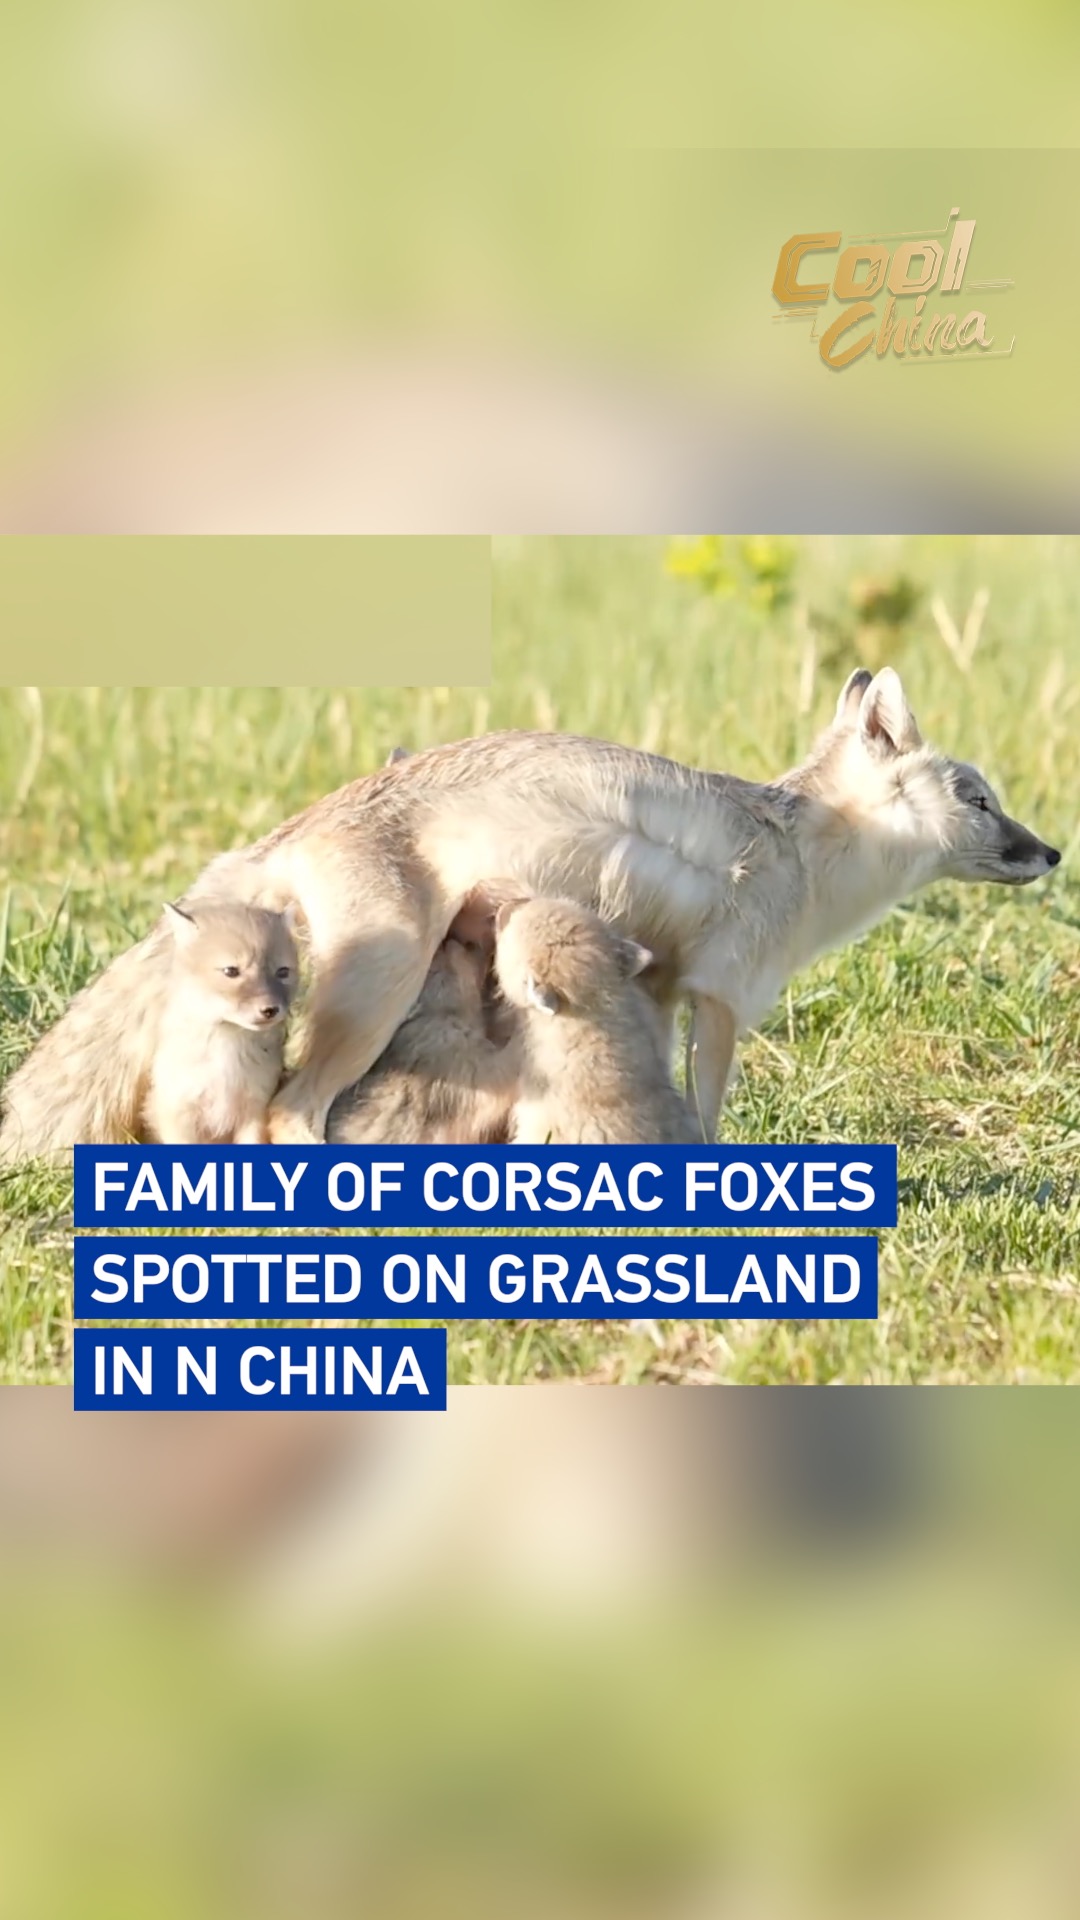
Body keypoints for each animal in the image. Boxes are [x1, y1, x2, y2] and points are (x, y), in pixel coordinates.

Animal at [0, 900, 297, 1158]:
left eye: (283, 972)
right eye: (231, 971)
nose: (270, 1010)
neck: (226, 1053)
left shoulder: (253, 1111)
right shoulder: (176, 1112)